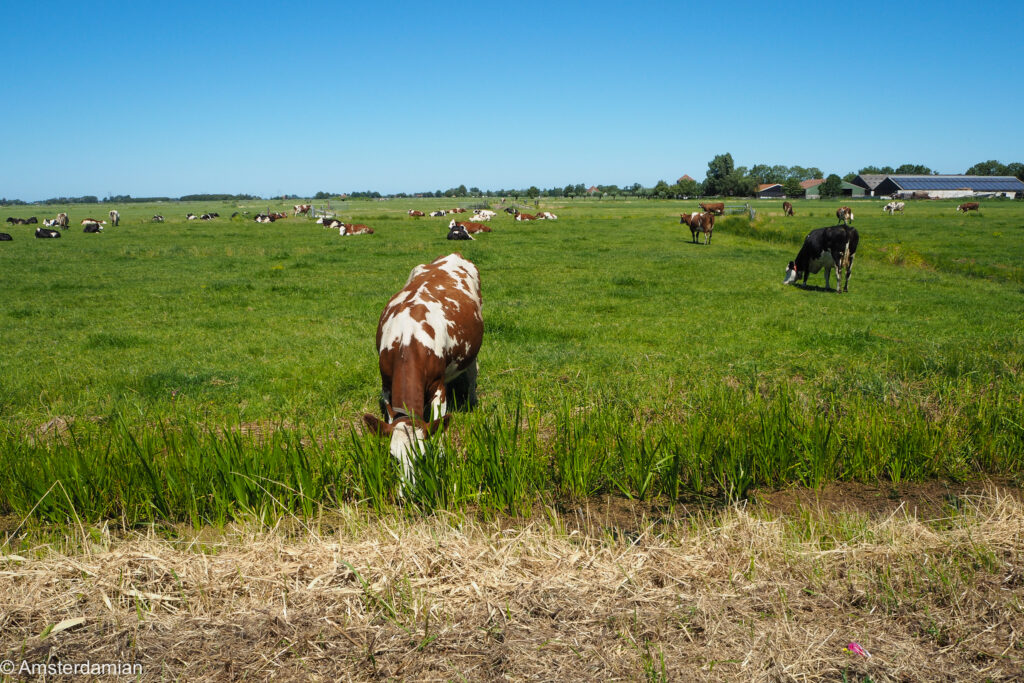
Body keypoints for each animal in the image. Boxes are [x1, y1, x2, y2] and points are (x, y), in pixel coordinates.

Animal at [362, 253, 483, 490]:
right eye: (393, 458)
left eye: (422, 457)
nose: (407, 493)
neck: (408, 340)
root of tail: (454, 254)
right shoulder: (386, 385)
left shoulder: (438, 387)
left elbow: (439, 425)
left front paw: (442, 455)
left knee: (472, 372)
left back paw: (472, 400)